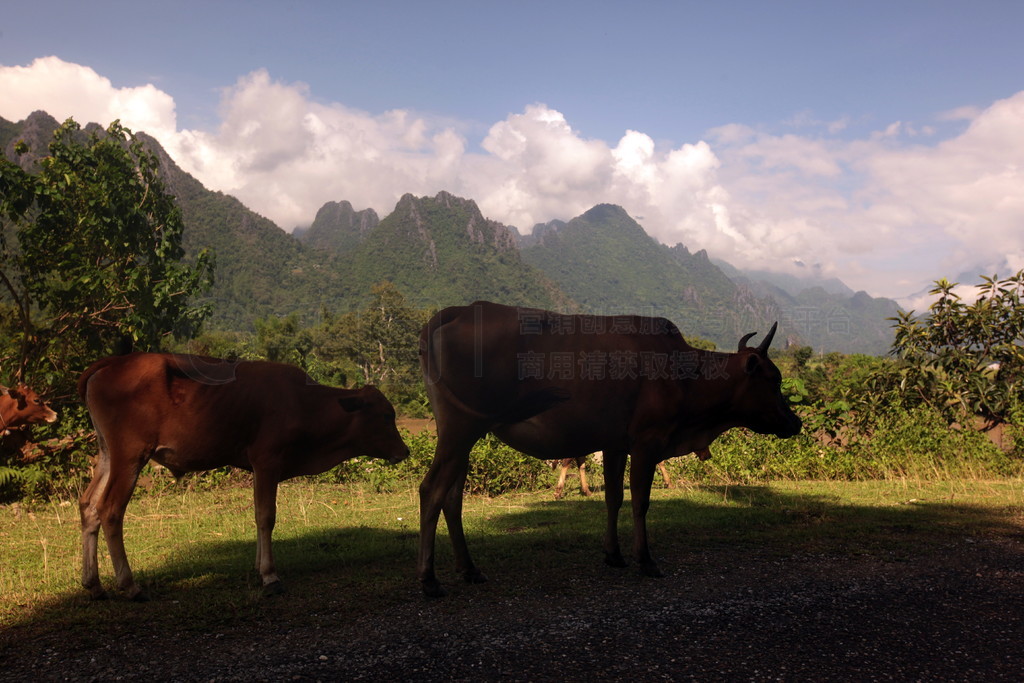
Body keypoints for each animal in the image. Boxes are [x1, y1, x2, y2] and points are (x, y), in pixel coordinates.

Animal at [77, 356, 409, 602]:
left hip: (107, 455)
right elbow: (266, 516)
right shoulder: (267, 462)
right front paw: (270, 576)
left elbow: (258, 516)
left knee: (89, 506)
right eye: (385, 416)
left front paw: (259, 567)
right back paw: (130, 585)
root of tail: (113, 363)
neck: (304, 402)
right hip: (130, 457)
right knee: (110, 511)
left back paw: (94, 584)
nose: (404, 451)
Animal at [415, 301, 798, 593]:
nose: (796, 422)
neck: (683, 374)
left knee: (452, 497)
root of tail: (459, 309)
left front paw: (613, 555)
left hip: (465, 435)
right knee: (431, 490)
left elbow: (613, 498)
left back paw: (469, 569)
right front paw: (646, 560)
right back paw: (429, 579)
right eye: (774, 379)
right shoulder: (647, 442)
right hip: (460, 430)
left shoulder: (615, 444)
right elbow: (640, 502)